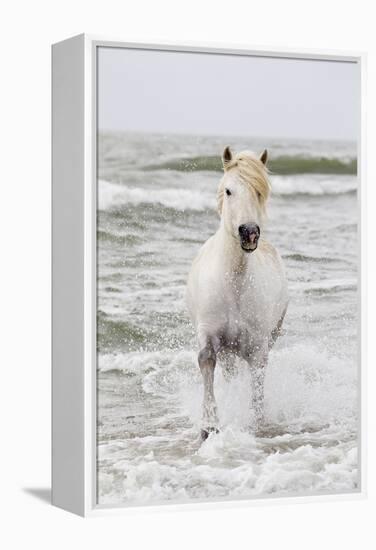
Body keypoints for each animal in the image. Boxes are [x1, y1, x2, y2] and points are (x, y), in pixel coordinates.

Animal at [187, 147, 288, 440]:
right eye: (229, 190)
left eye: (259, 191)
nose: (249, 233)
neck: (234, 283)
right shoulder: (209, 335)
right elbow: (206, 362)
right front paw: (209, 426)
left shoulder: (258, 345)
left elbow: (257, 377)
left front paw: (256, 423)